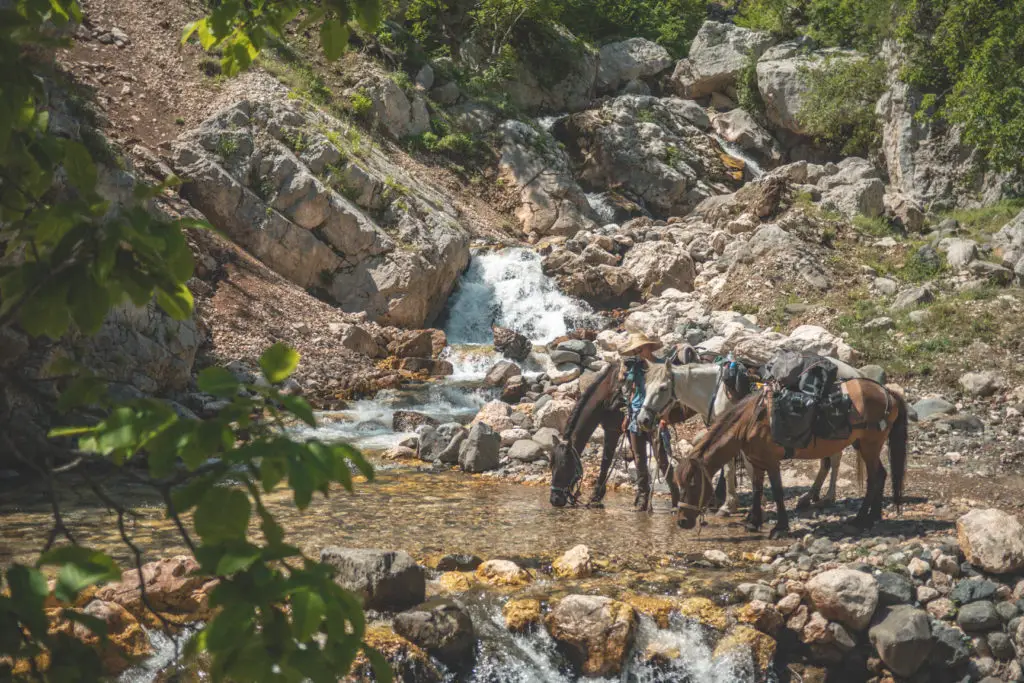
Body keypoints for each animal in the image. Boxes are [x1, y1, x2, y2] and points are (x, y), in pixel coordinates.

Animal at [675, 382, 909, 536]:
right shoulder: (757, 462)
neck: (751, 422)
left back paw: (861, 519)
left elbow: (777, 491)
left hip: (870, 446)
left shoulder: (771, 462)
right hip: (865, 445)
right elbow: (757, 489)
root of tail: (887, 393)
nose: (682, 521)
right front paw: (753, 522)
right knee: (881, 474)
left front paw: (780, 527)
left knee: (874, 478)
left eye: (693, 484)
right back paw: (874, 516)